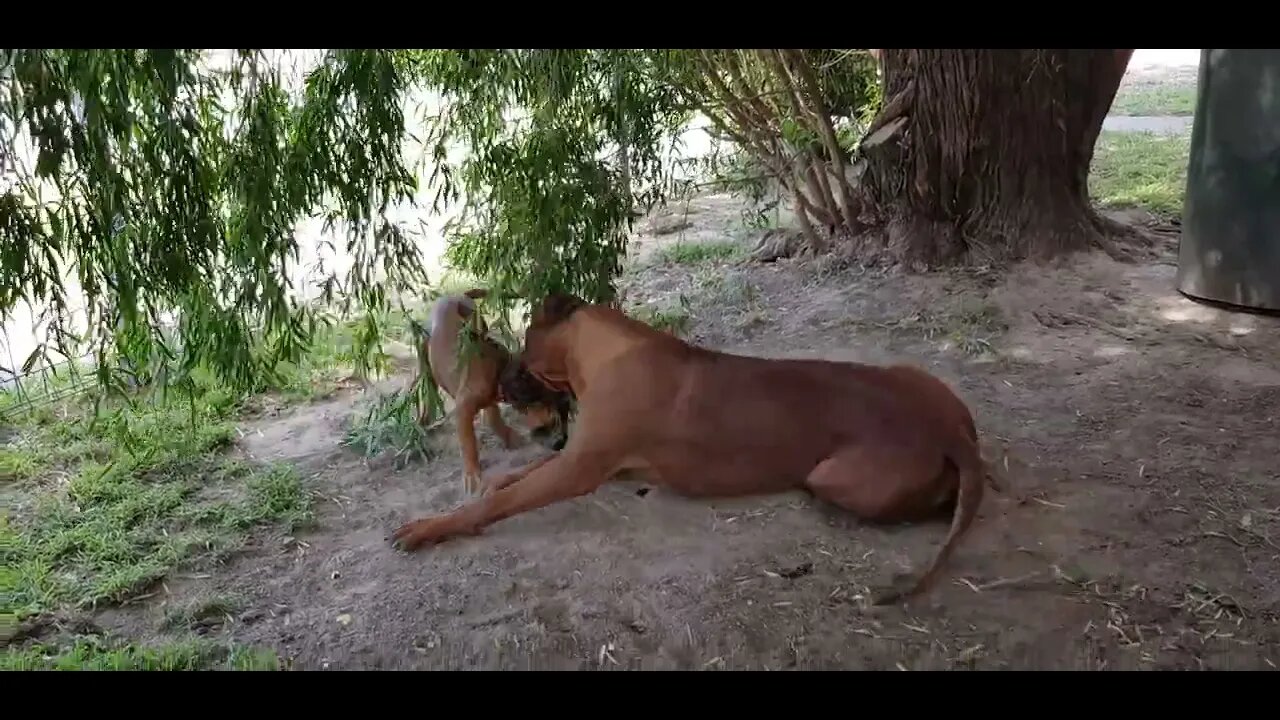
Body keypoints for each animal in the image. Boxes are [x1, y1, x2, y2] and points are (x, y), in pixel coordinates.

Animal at [394, 292, 993, 599]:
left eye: (524, 342)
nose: (504, 376)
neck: (607, 355)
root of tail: (951, 434)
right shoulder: (589, 459)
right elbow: (510, 480)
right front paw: (482, 484)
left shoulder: (580, 467)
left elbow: (499, 501)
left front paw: (428, 528)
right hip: (918, 378)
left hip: (833, 478)